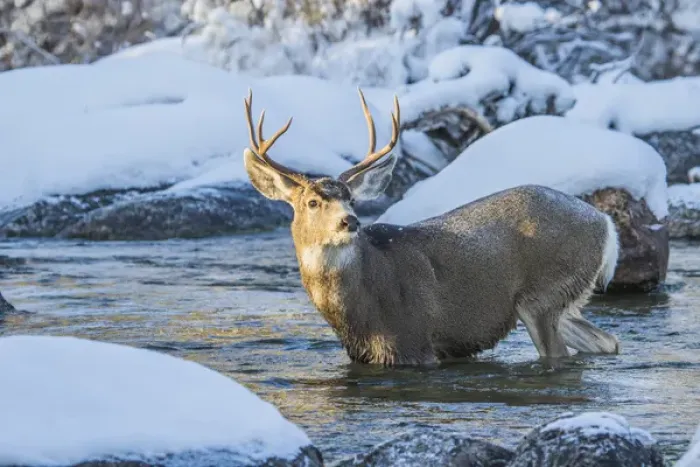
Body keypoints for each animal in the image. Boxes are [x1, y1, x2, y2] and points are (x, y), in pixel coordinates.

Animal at [241, 89, 621, 367]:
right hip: (563, 299)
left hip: (543, 294)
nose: (350, 221)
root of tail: (605, 224)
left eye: (351, 199)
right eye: (312, 202)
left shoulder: (414, 342)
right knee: (608, 341)